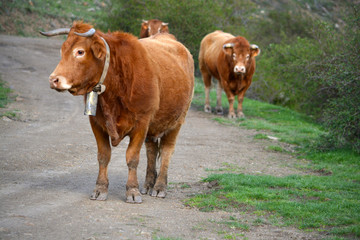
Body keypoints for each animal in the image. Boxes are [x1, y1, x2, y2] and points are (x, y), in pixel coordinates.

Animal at [40, 21, 194, 203]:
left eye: (80, 52)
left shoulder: (142, 123)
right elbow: (103, 155)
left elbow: (132, 157)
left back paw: (159, 187)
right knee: (151, 150)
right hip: (155, 125)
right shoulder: (96, 123)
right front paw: (100, 188)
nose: (53, 80)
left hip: (177, 121)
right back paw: (148, 184)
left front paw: (132, 190)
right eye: (62, 51)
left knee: (166, 151)